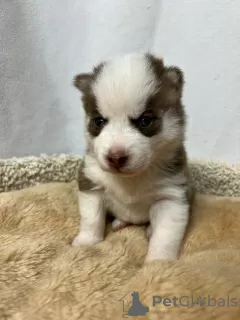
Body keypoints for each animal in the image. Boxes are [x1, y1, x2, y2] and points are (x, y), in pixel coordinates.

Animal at [72, 53, 192, 262]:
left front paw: (159, 262)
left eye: (145, 121)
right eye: (99, 121)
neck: (131, 180)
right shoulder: (91, 184)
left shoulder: (171, 198)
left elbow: (165, 236)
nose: (115, 157)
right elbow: (91, 218)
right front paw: (87, 241)